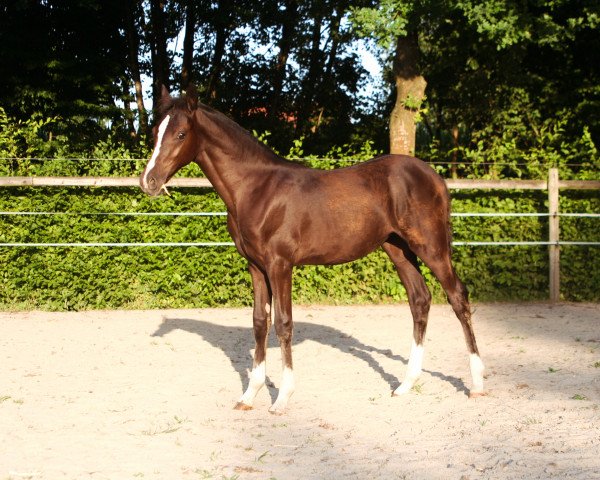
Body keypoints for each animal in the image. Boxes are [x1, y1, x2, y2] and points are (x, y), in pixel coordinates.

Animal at [138, 86, 486, 412]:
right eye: (155, 133)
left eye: (181, 134)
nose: (148, 181)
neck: (255, 189)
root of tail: (435, 177)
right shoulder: (255, 266)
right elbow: (259, 322)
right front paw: (249, 395)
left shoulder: (280, 264)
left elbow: (283, 323)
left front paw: (282, 398)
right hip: (397, 248)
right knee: (420, 300)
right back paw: (405, 385)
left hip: (431, 247)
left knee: (457, 297)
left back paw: (477, 383)